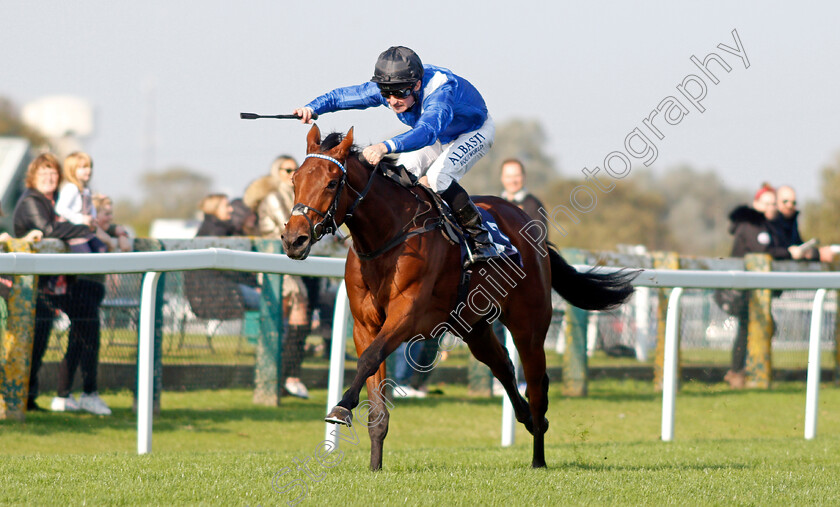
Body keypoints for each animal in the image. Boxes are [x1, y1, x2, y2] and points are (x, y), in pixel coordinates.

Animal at [282, 126, 636, 472]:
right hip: (473, 326)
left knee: (537, 385)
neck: (388, 237)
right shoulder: (365, 325)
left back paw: (539, 456)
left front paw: (341, 407)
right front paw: (374, 466)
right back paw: (527, 419)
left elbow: (369, 359)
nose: (293, 239)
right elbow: (375, 395)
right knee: (503, 366)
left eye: (332, 182)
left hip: (529, 325)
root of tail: (530, 225)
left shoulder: (407, 317)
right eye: (295, 180)